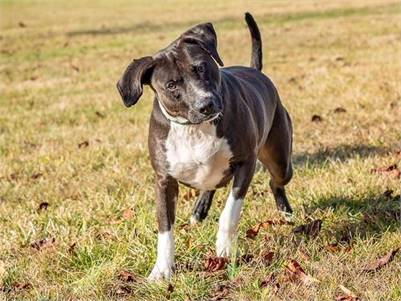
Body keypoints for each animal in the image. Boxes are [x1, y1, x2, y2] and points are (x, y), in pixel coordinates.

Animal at [117, 12, 292, 278]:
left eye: (200, 67)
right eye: (171, 85)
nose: (206, 105)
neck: (194, 128)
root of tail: (255, 71)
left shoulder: (245, 163)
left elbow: (230, 212)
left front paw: (224, 249)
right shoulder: (164, 180)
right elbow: (164, 228)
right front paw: (162, 269)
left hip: (280, 159)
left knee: (275, 181)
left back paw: (285, 212)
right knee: (210, 185)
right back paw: (199, 211)